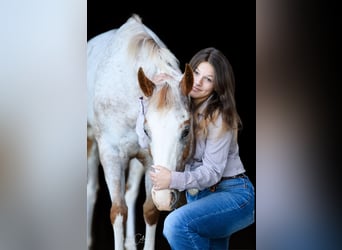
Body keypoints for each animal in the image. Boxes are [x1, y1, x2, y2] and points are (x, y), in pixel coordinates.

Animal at [87, 14, 194, 250]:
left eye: (186, 131)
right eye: (146, 129)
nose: (166, 196)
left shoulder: (148, 160)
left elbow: (150, 210)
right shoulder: (110, 154)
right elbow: (118, 211)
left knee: (130, 192)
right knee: (90, 190)